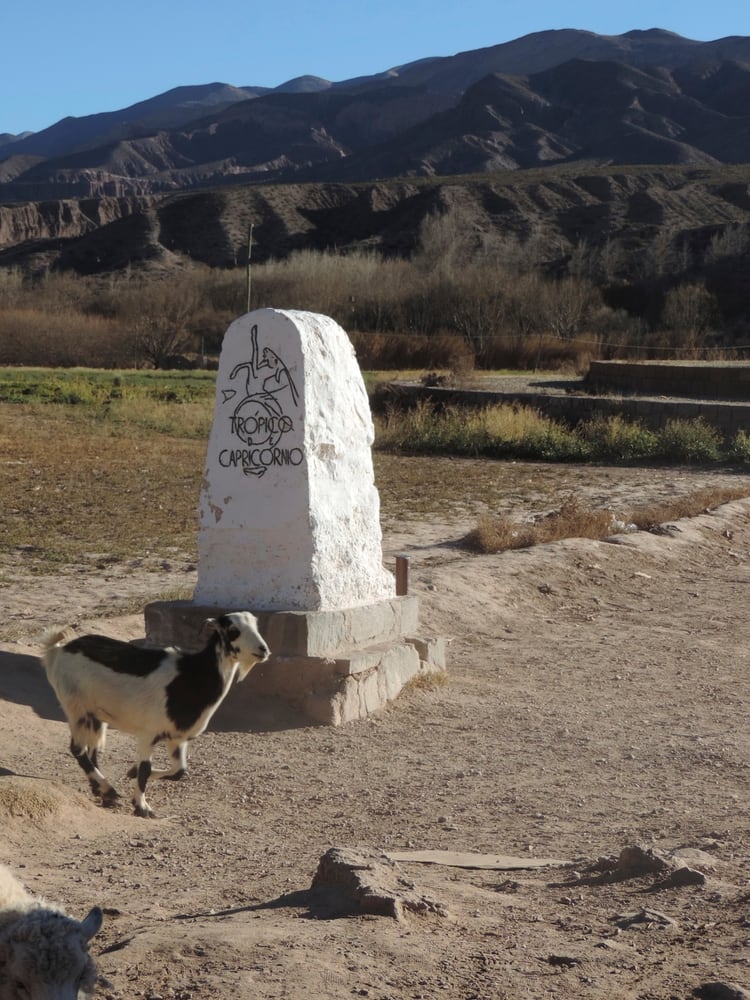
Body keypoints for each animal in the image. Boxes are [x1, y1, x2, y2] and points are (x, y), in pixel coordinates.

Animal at [40, 612, 270, 816]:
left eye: (256, 626)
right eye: (233, 630)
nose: (263, 650)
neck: (191, 676)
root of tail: (57, 650)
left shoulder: (177, 738)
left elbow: (179, 771)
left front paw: (131, 774)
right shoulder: (148, 734)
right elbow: (145, 770)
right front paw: (142, 807)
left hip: (96, 716)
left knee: (93, 750)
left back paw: (102, 791)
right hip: (75, 708)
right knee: (77, 749)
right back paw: (108, 790)